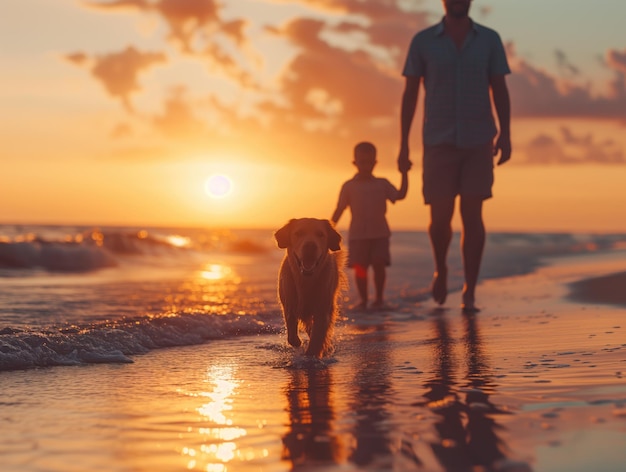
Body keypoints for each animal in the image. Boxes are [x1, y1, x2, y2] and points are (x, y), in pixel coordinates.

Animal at [272, 218, 344, 358]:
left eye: (320, 234)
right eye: (298, 233)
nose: (310, 246)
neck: (305, 281)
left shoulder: (322, 310)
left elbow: (317, 338)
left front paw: (311, 356)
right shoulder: (289, 303)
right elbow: (291, 323)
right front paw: (296, 342)